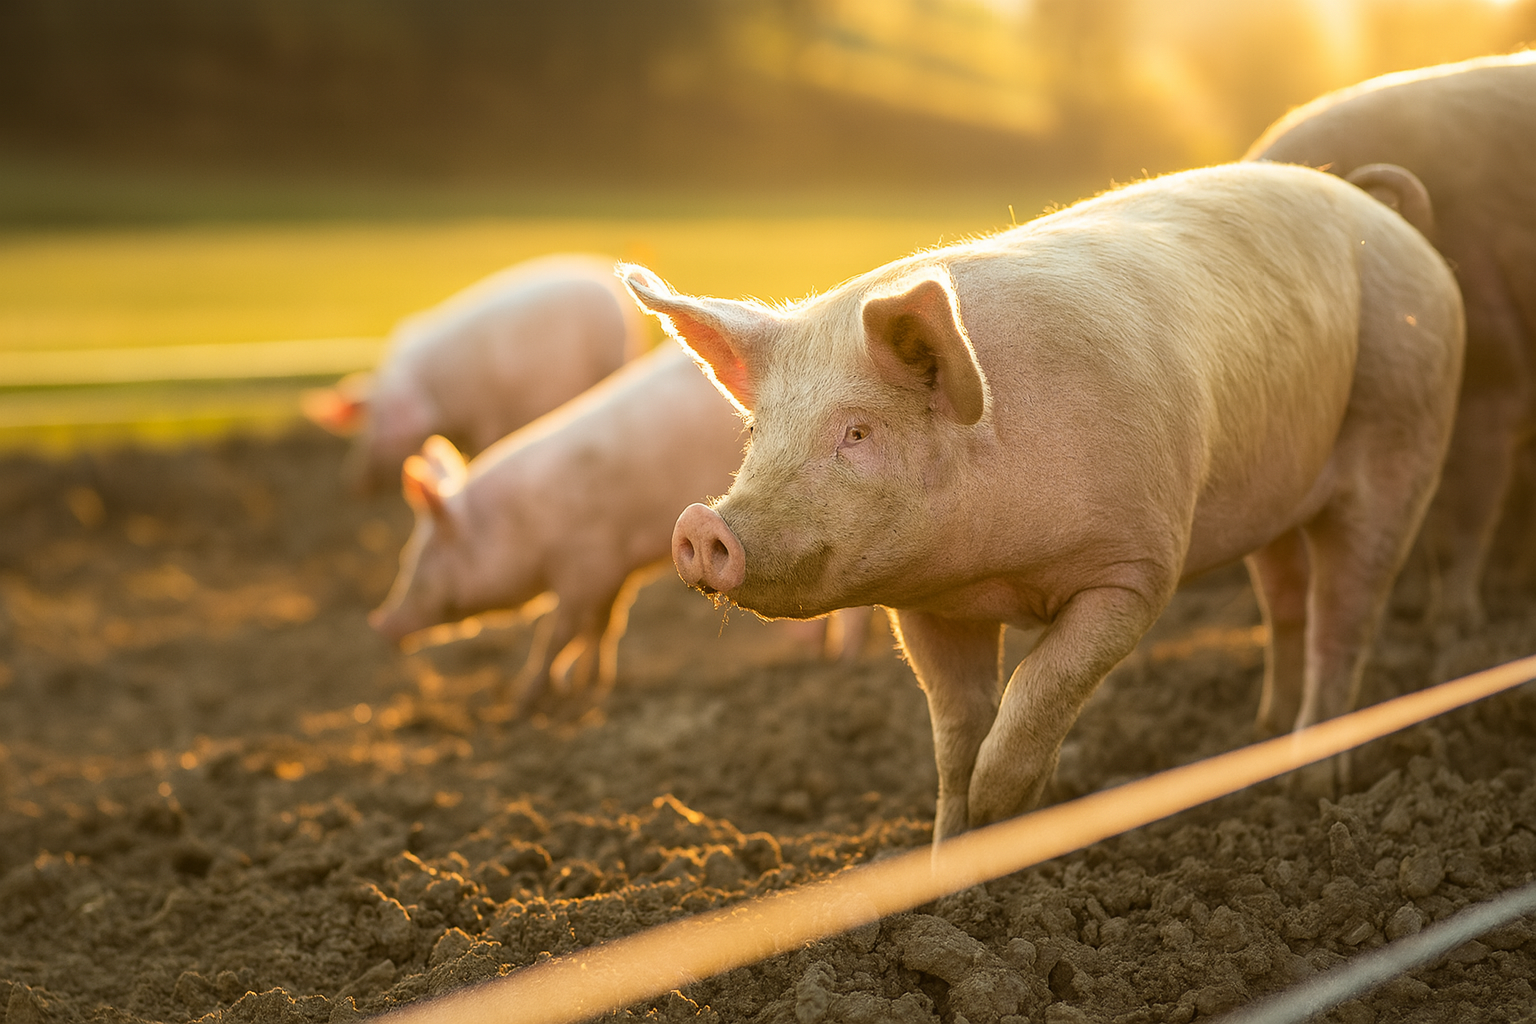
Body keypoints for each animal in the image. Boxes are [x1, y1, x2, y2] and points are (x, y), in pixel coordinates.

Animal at [369, 343, 871, 714]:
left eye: (421, 558)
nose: (380, 623)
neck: (526, 522)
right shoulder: (612, 570)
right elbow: (603, 625)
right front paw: (590, 687)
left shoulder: (588, 565)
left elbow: (557, 629)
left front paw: (523, 701)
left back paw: (846, 666)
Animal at [628, 161, 1464, 841]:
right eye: (756, 431)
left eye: (857, 431)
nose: (703, 525)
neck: (996, 566)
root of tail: (1389, 216)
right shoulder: (925, 606)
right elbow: (954, 729)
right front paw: (952, 854)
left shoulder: (1137, 566)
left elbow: (1036, 687)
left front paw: (1002, 808)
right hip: (1276, 489)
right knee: (1288, 601)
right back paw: (1256, 736)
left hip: (1406, 426)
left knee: (1345, 613)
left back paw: (1312, 780)